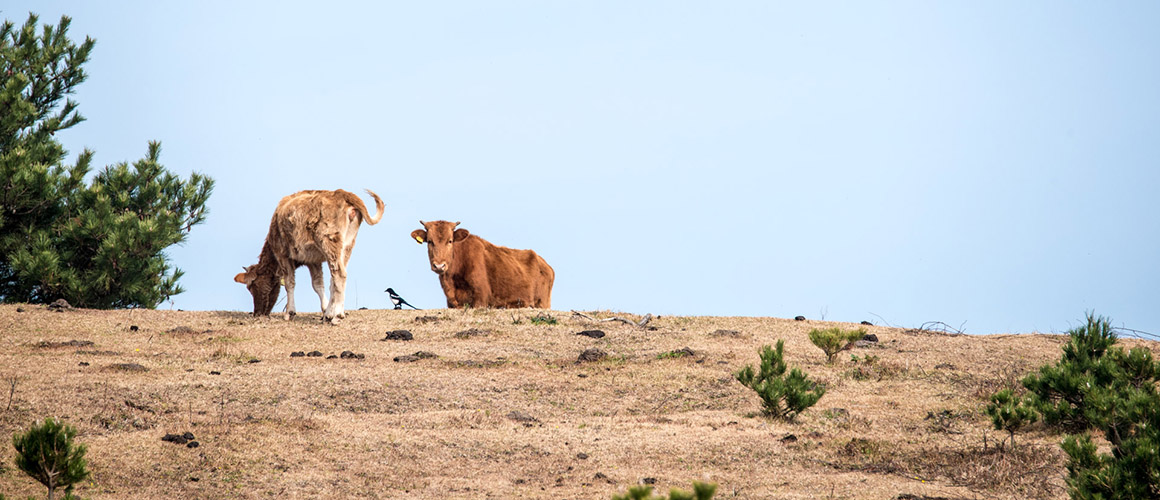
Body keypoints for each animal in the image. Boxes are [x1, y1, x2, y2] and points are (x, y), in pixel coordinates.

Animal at [235, 189, 385, 324]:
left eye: (251, 286)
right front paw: (325, 310)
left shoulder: (283, 254)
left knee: (339, 273)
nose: (257, 313)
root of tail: (342, 193)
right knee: (335, 278)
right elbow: (318, 284)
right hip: (347, 246)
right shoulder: (313, 261)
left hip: (329, 241)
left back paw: (335, 315)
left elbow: (289, 282)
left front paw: (289, 312)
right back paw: (337, 312)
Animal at [410, 220, 554, 308]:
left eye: (450, 241)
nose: (439, 266)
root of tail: (546, 265)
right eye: (430, 241)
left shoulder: (481, 299)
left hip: (542, 303)